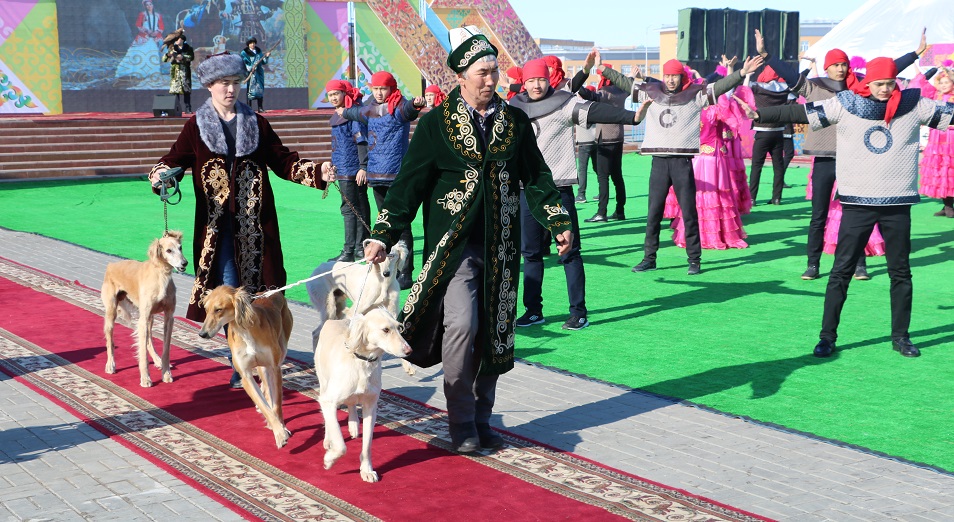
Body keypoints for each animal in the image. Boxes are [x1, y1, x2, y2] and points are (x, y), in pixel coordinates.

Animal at [101, 230, 189, 384]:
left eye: (180, 247)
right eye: (168, 250)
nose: (185, 263)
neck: (161, 276)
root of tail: (111, 265)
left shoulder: (168, 317)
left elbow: (166, 349)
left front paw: (166, 373)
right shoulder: (143, 319)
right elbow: (142, 352)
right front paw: (145, 378)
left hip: (150, 318)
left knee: (148, 340)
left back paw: (157, 360)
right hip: (112, 312)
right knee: (110, 340)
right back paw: (110, 364)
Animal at [198, 284, 294, 446]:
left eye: (218, 309)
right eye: (206, 309)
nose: (202, 334)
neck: (245, 331)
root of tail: (273, 292)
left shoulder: (274, 368)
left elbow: (277, 404)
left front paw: (282, 428)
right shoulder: (246, 376)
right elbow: (263, 403)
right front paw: (278, 431)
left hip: (280, 351)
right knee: (265, 388)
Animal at [314, 306, 410, 482]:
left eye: (399, 327)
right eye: (385, 330)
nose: (409, 350)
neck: (363, 362)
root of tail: (334, 320)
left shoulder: (370, 407)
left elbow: (367, 445)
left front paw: (366, 470)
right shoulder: (328, 401)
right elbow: (341, 445)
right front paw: (329, 459)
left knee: (351, 404)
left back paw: (353, 425)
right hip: (324, 383)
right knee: (329, 419)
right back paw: (328, 439)